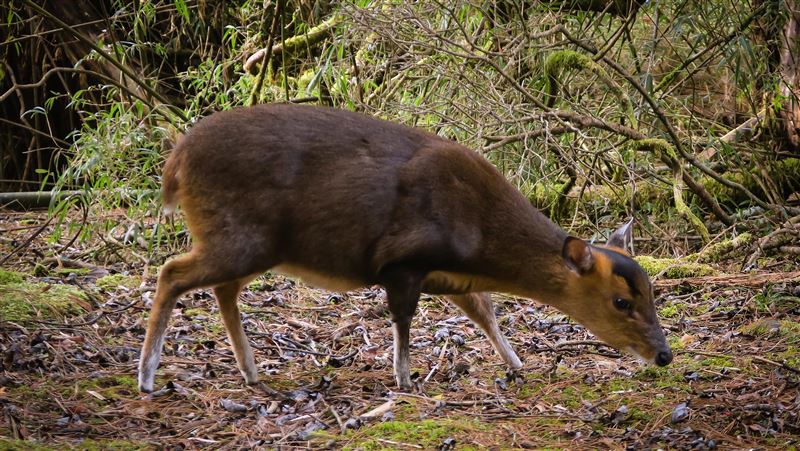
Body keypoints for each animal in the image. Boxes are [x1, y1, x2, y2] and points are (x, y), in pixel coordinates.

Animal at [138, 104, 672, 393]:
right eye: (621, 302)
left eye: (653, 293)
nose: (664, 355)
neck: (478, 233)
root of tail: (175, 165)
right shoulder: (404, 260)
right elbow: (403, 318)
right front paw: (404, 379)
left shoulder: (451, 277)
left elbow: (485, 312)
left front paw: (517, 364)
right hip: (238, 235)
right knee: (171, 272)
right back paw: (147, 376)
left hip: (257, 245)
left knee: (222, 290)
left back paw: (249, 373)